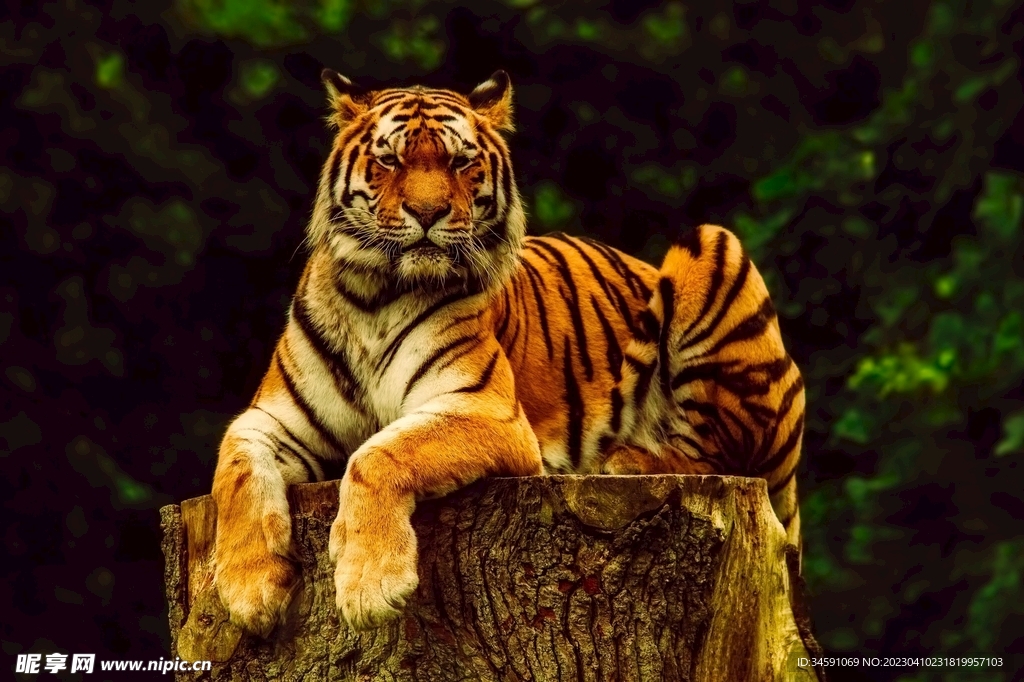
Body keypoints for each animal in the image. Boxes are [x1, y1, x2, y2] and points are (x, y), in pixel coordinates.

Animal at [210, 69, 806, 635]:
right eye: (390, 159)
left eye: (460, 161)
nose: (427, 212)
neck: (374, 297)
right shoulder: (271, 419)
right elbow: (234, 473)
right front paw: (248, 591)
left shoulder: (485, 409)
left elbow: (378, 454)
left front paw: (370, 587)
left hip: (713, 246)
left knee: (722, 453)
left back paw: (626, 458)